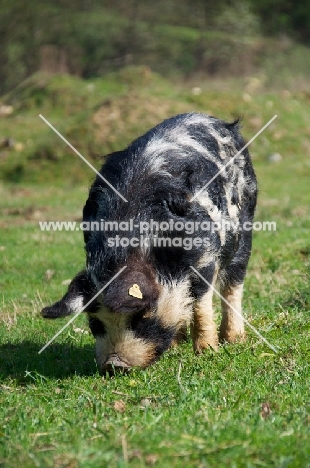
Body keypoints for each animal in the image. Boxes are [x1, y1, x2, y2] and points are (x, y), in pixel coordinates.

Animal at [42, 114, 258, 376]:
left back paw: (234, 339)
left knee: (233, 285)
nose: (115, 365)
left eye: (141, 317)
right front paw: (177, 347)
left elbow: (200, 305)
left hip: (245, 229)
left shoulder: (204, 256)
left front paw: (207, 351)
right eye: (94, 322)